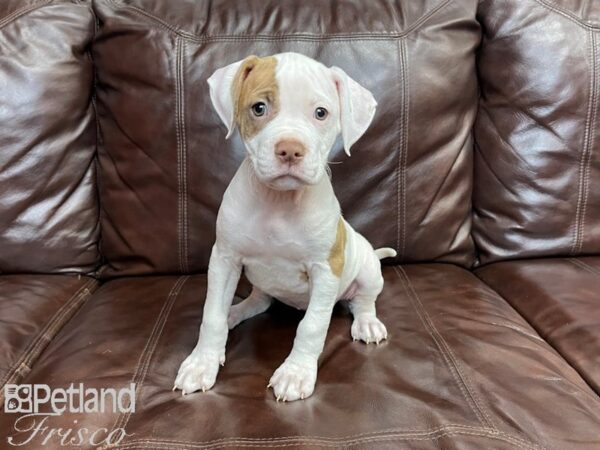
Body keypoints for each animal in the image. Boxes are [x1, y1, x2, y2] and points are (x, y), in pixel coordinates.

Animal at [173, 51, 396, 400]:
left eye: (321, 113)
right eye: (259, 108)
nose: (290, 150)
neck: (279, 203)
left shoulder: (325, 269)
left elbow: (312, 325)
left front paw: (296, 373)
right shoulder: (224, 259)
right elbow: (211, 316)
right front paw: (202, 363)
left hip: (368, 271)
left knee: (363, 301)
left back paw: (367, 324)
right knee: (259, 301)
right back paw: (234, 311)